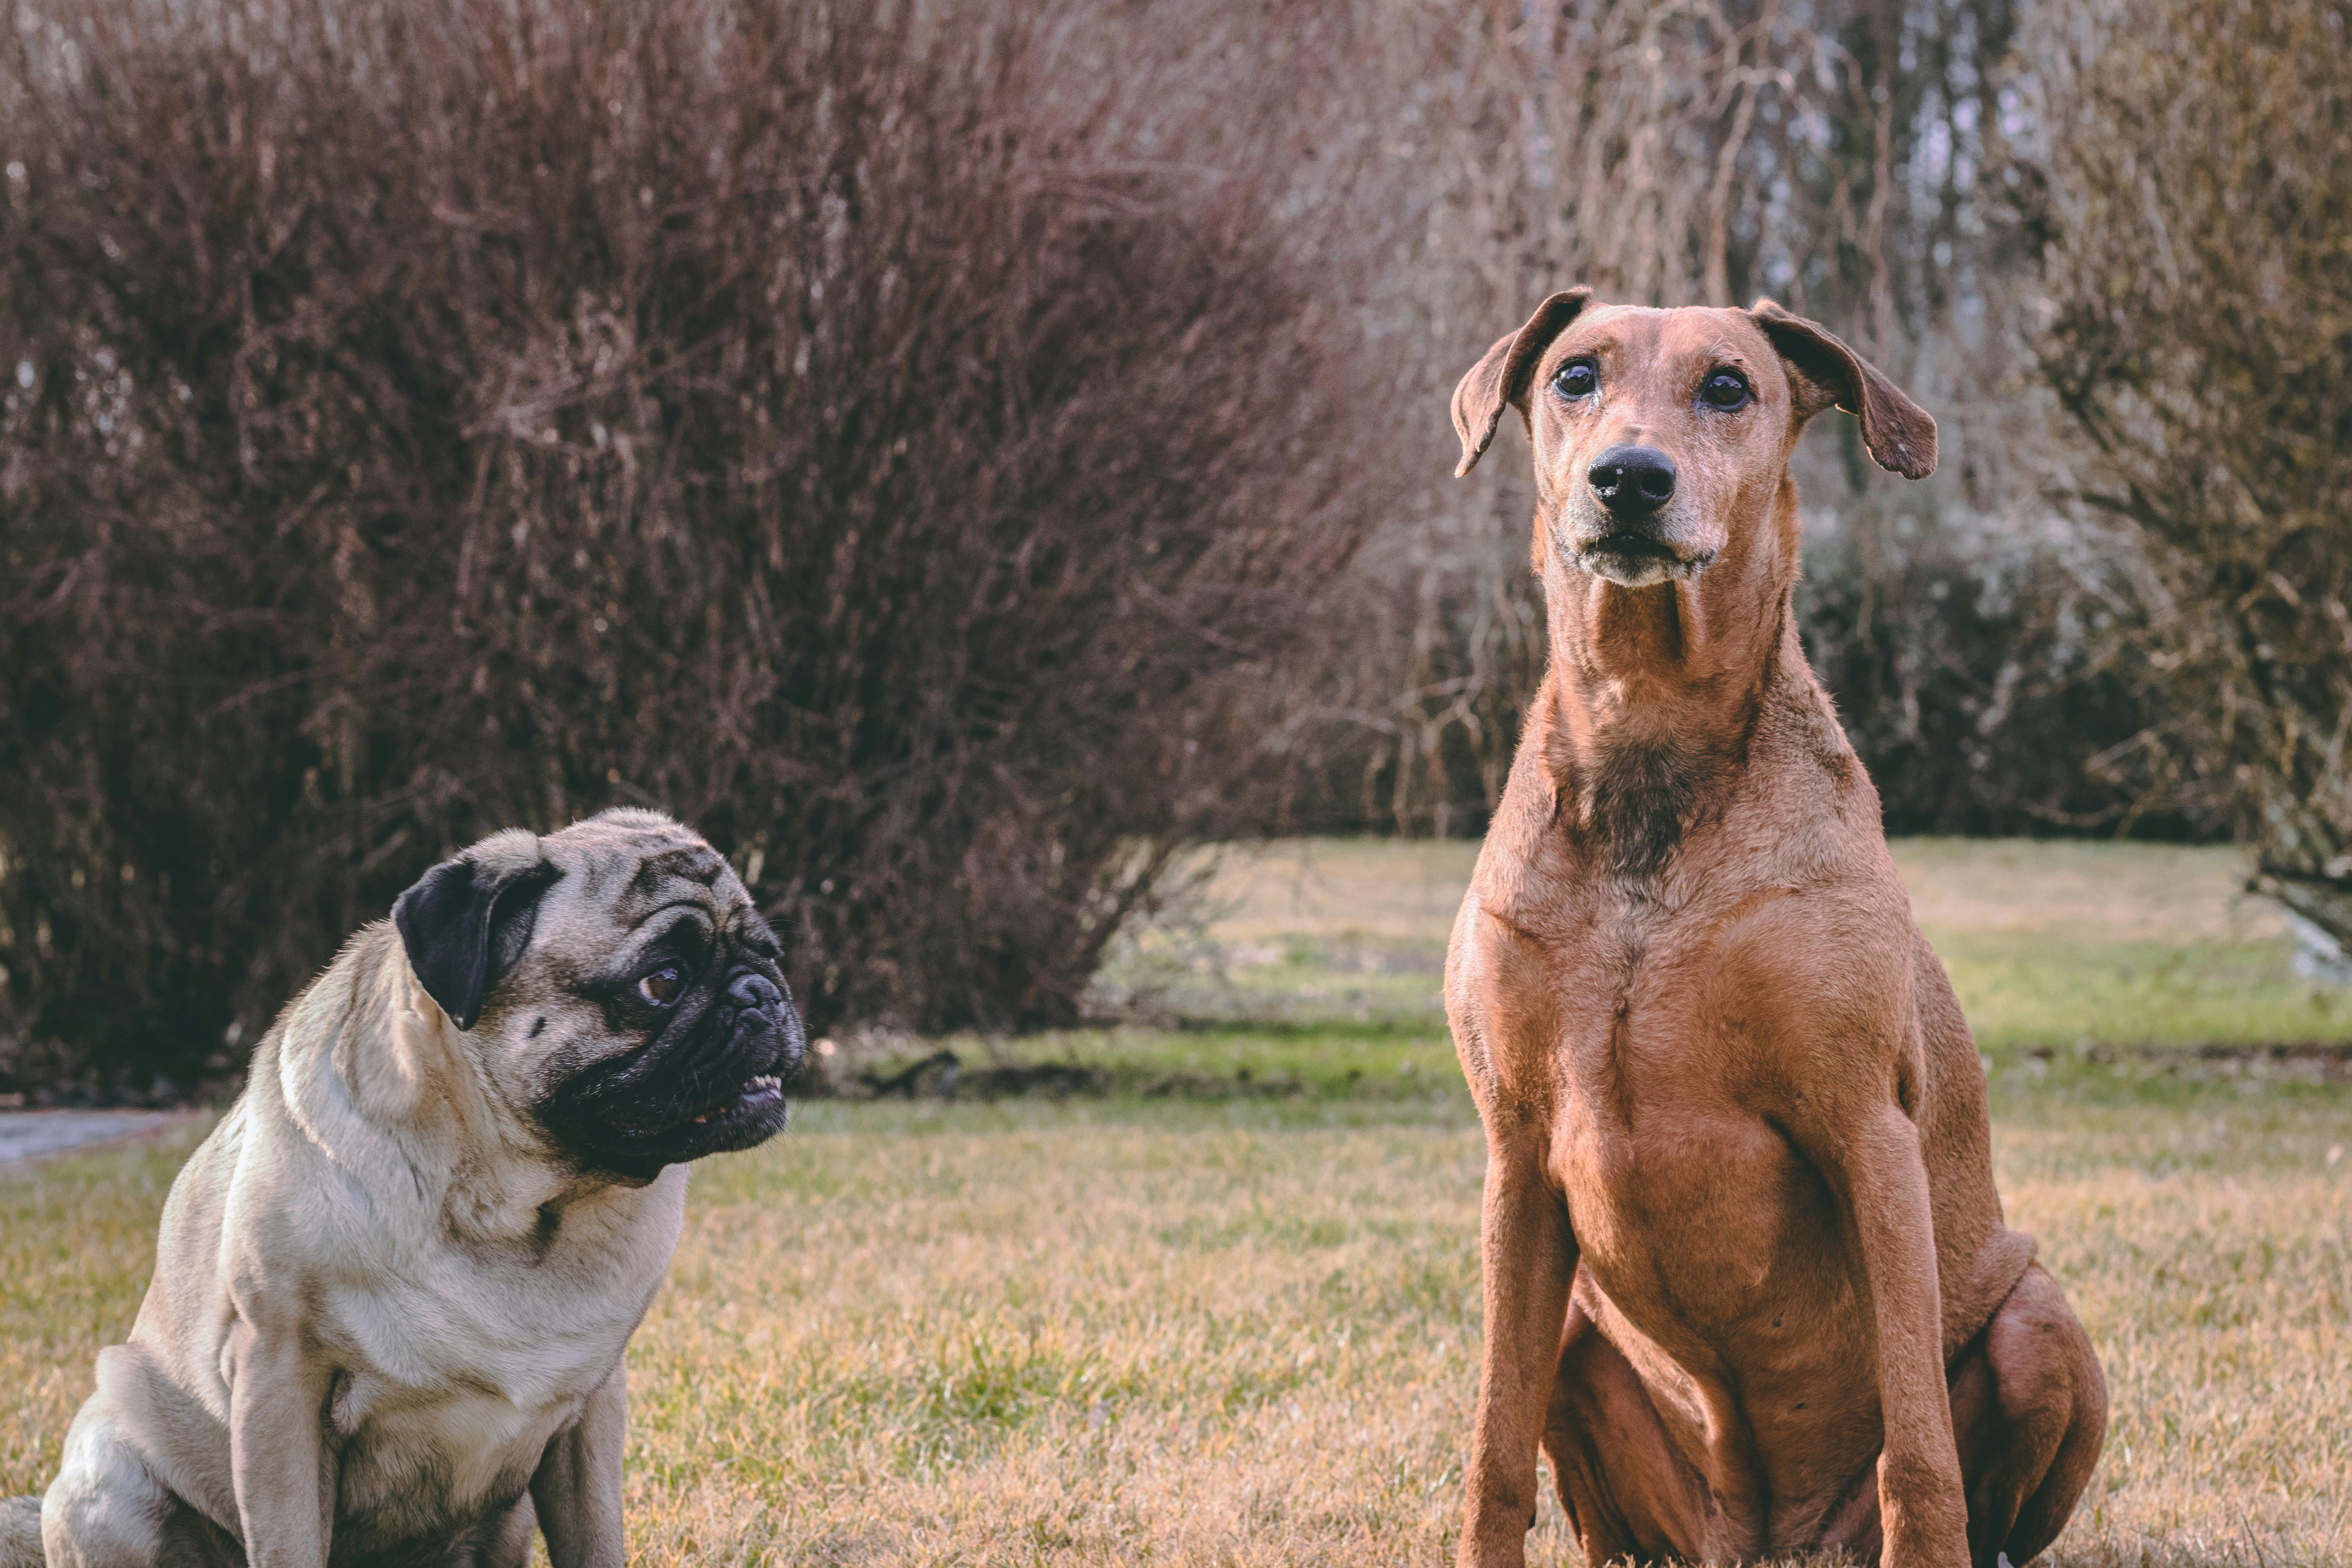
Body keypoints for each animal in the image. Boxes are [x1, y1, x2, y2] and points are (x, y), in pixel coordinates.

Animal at [1439, 297, 2107, 1568]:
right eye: (1573, 376)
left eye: (1728, 386)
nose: (1628, 477)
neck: (1648, 742)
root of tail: (1764, 1536)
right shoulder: (1515, 1159)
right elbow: (1495, 1453)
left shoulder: (1866, 1131)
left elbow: (1919, 1451)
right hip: (1579, 1331)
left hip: (2041, 1316)